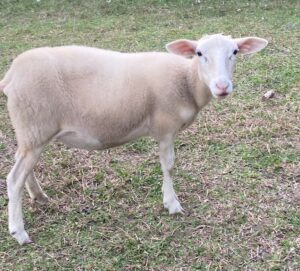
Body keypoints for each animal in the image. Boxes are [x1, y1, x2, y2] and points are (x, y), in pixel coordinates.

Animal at [0, 33, 268, 244]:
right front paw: (172, 204)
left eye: (234, 52)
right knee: (13, 179)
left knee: (23, 168)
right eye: (199, 53)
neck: (187, 80)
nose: (222, 86)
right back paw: (19, 232)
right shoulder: (166, 127)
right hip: (35, 125)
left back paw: (39, 196)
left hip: (31, 132)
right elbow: (168, 166)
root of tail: (10, 75)